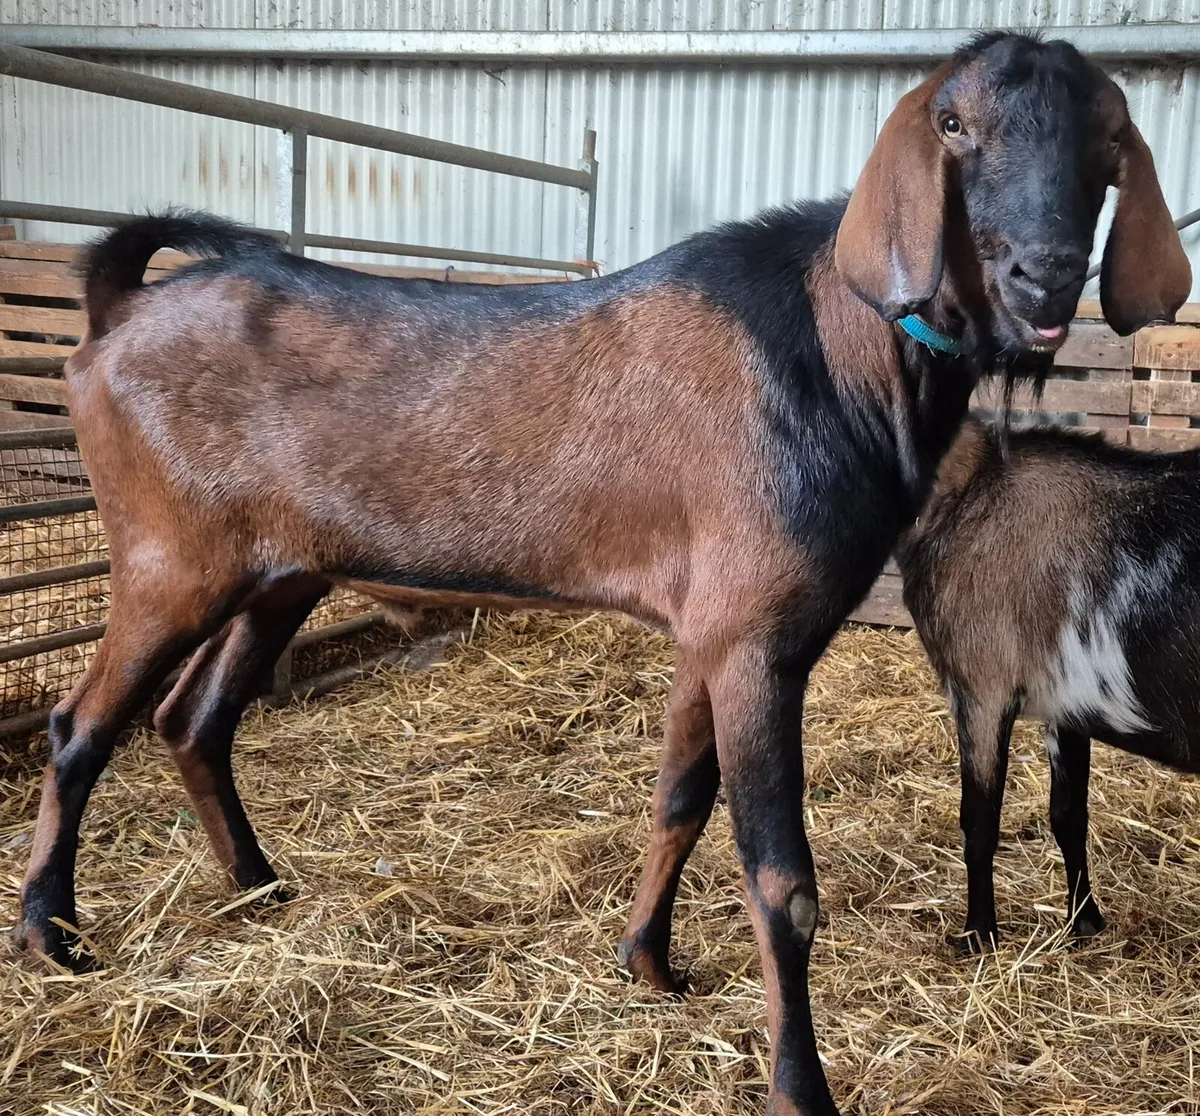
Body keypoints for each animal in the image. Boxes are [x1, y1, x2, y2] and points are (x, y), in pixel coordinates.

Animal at [900, 420, 1200, 954]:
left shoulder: (981, 690)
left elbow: (979, 819)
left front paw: (979, 936)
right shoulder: (1069, 705)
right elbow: (1068, 816)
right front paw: (1084, 922)